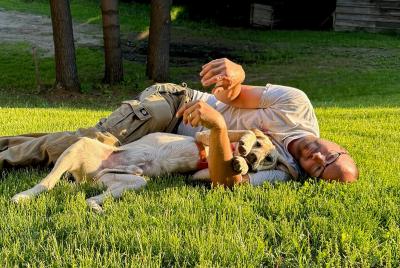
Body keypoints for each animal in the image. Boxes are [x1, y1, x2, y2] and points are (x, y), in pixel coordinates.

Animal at [12, 129, 294, 211]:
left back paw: (95, 206)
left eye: (270, 159)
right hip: (80, 147)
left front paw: (243, 163)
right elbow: (242, 131)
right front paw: (245, 144)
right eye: (260, 147)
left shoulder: (199, 174)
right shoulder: (203, 134)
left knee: (96, 195)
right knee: (46, 182)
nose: (255, 157)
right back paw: (23, 196)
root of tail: (88, 178)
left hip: (133, 182)